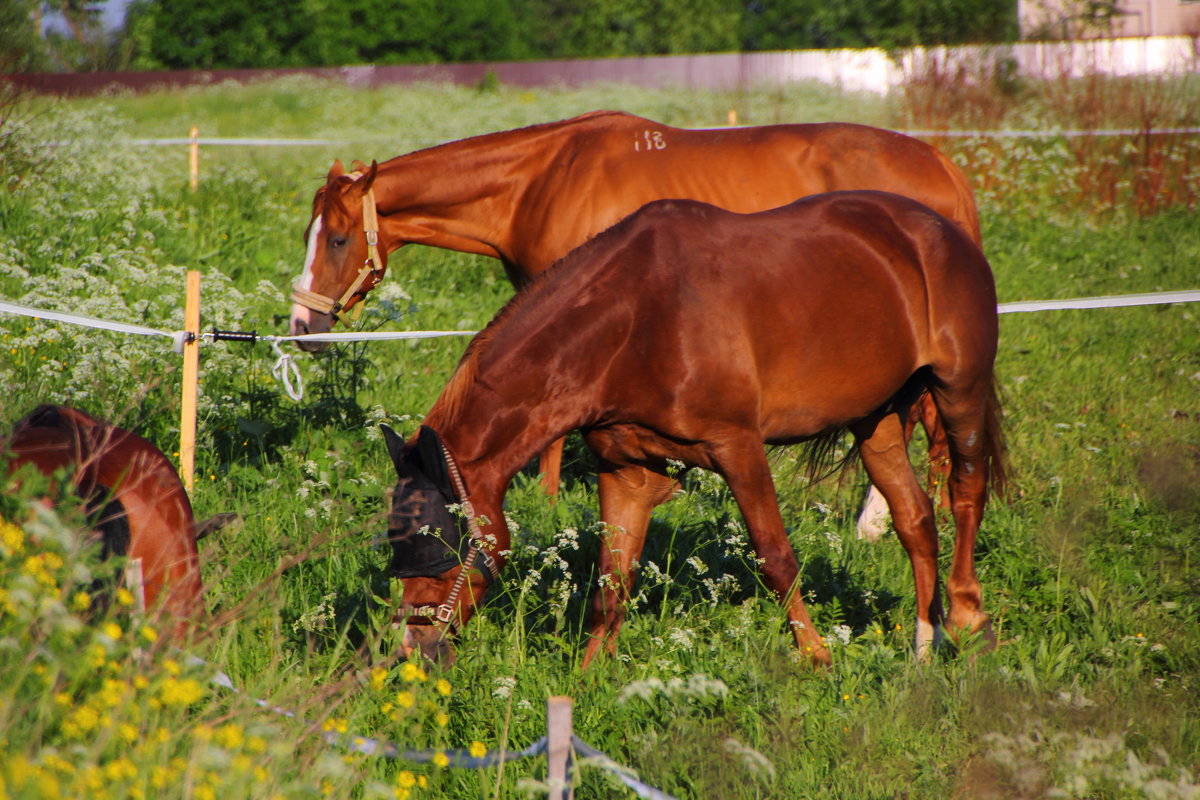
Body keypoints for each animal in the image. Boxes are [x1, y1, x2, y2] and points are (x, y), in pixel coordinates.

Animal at [285, 107, 979, 532]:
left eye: (339, 239)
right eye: (310, 233)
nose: (300, 326)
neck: (542, 180)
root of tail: (944, 168)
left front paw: (547, 501)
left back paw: (876, 523)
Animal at [379, 190, 998, 666]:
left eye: (436, 548)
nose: (413, 650)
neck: (633, 322)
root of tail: (940, 227)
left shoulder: (738, 448)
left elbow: (775, 557)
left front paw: (817, 656)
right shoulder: (625, 469)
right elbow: (612, 581)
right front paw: (591, 676)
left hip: (959, 389)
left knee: (966, 492)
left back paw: (968, 618)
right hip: (877, 420)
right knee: (915, 519)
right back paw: (925, 644)